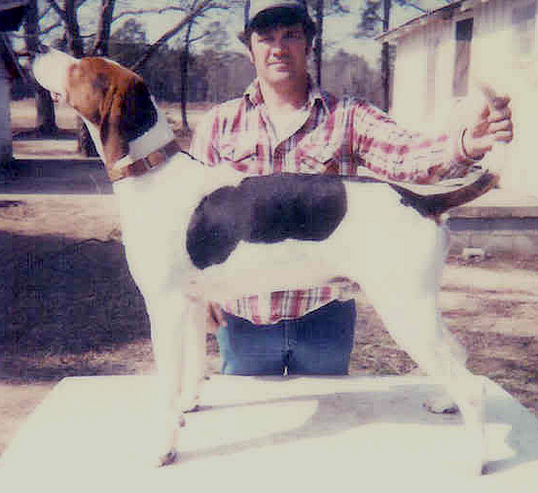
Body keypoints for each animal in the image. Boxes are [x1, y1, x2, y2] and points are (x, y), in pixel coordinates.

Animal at [31, 47, 488, 472]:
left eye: (80, 68)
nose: (34, 48)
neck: (153, 172)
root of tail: (422, 200)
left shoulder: (164, 308)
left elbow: (165, 387)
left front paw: (163, 448)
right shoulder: (191, 306)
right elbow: (192, 368)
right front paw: (188, 406)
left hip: (405, 310)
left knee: (471, 385)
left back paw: (475, 458)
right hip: (417, 309)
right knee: (460, 355)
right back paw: (445, 403)